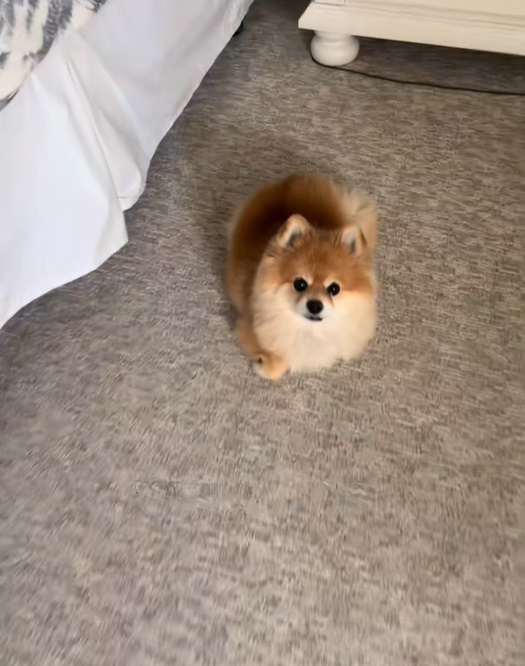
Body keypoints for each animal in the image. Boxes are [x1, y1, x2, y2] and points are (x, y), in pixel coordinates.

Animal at [225, 171, 376, 378]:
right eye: (300, 284)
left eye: (334, 289)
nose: (315, 305)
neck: (310, 331)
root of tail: (288, 183)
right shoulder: (248, 328)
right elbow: (277, 365)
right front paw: (262, 364)